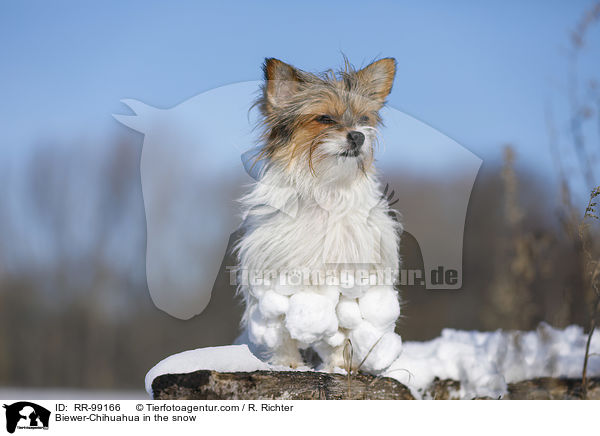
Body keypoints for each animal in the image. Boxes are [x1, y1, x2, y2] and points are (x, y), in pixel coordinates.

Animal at [234, 57, 404, 372]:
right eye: (324, 118)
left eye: (364, 119)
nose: (359, 136)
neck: (326, 187)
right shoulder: (277, 279)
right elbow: (282, 332)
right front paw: (287, 364)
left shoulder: (348, 282)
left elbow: (342, 334)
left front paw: (337, 367)